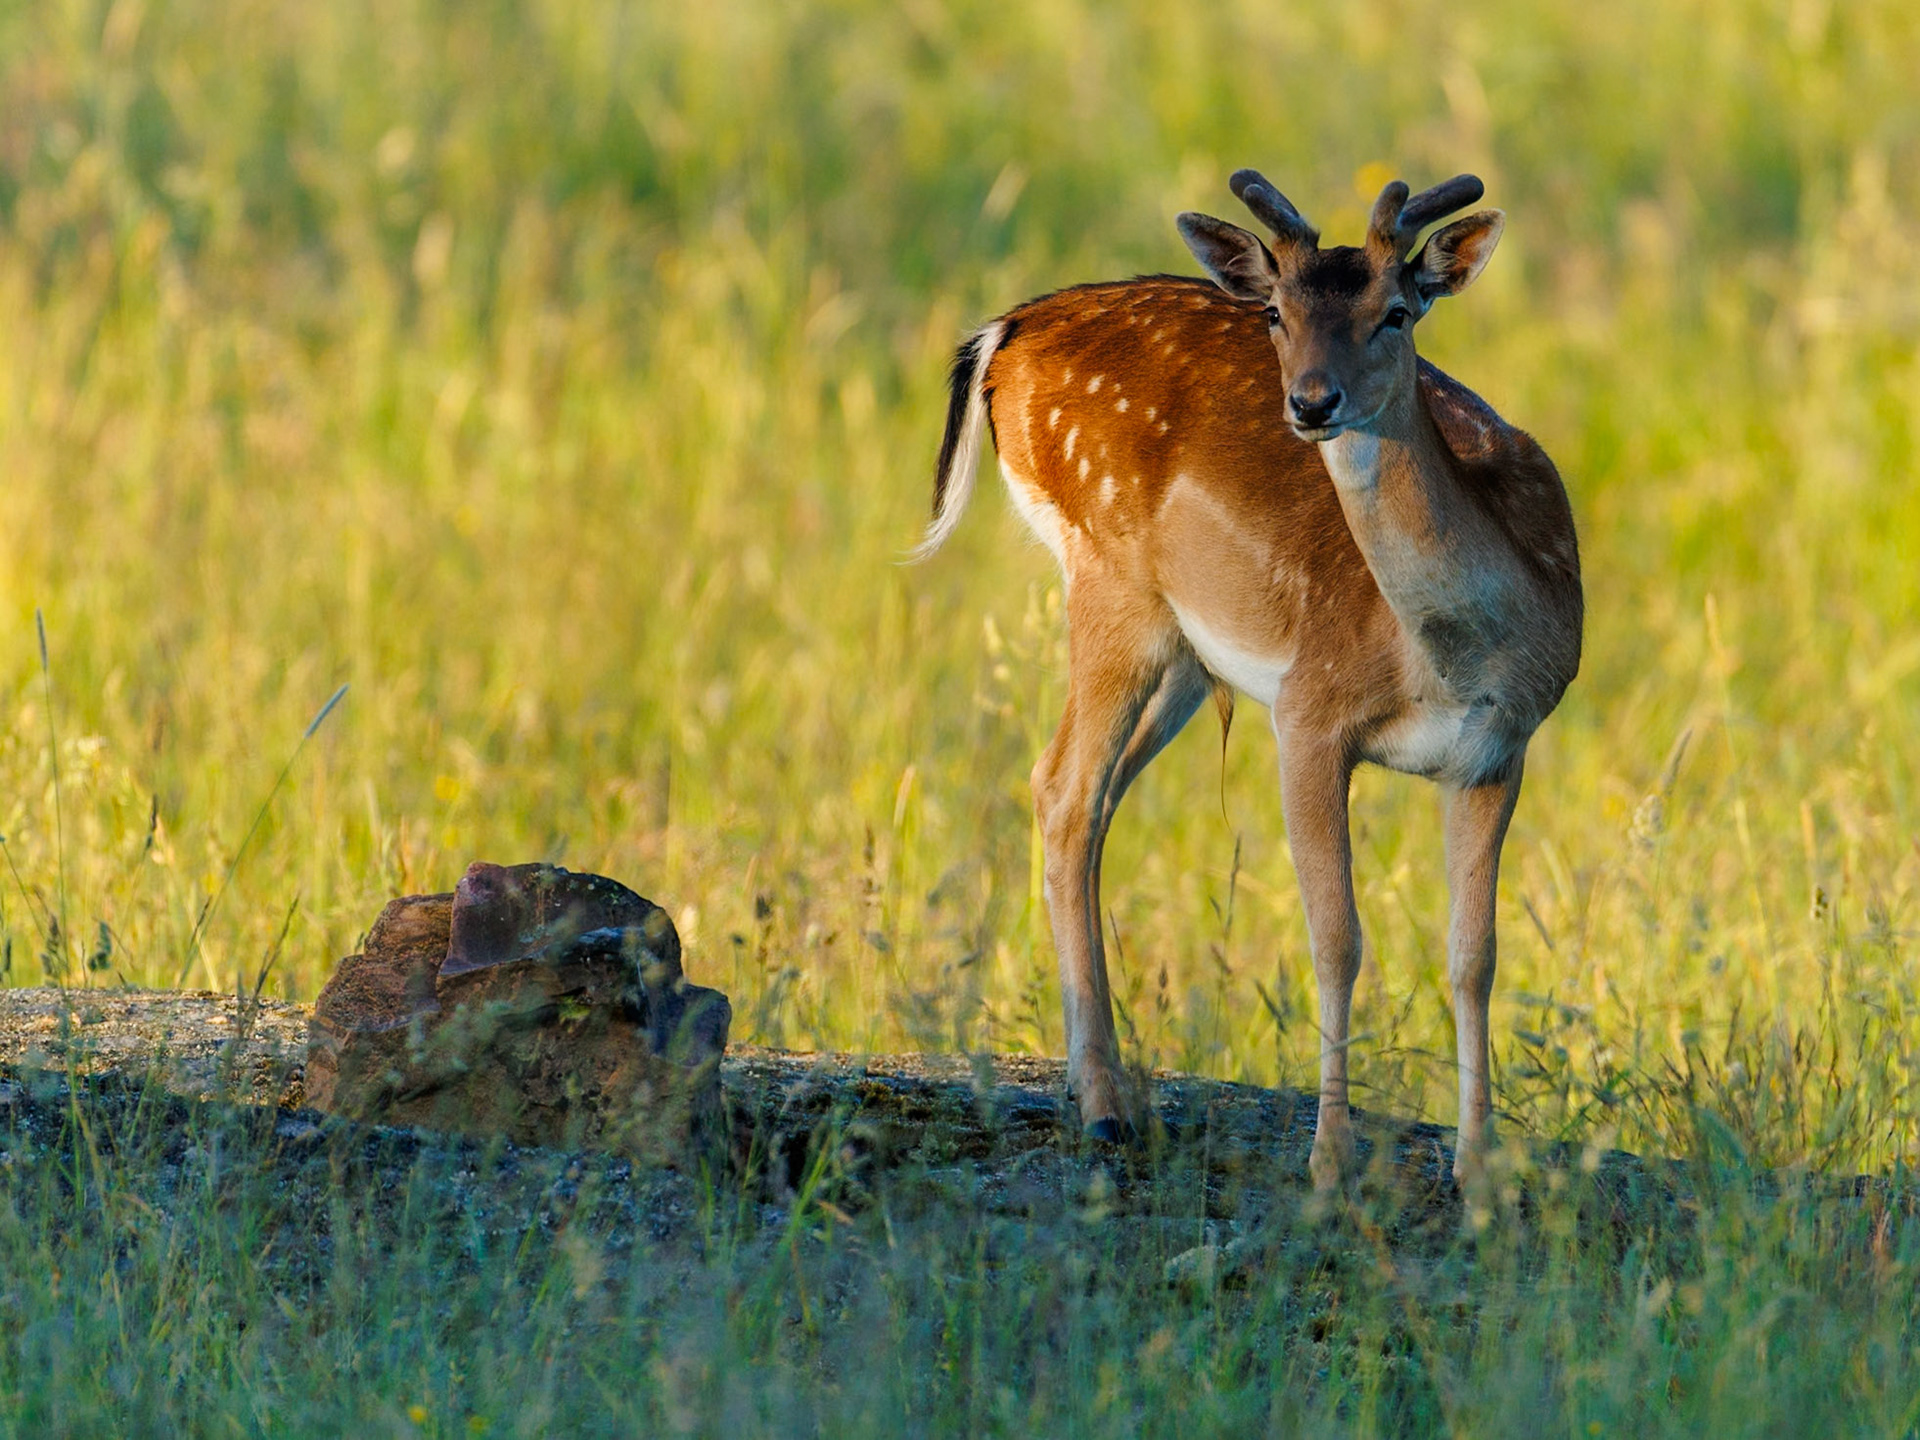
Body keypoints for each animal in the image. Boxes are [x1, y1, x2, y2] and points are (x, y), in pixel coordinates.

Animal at [912, 170, 1582, 1190]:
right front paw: (1330, 1161)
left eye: (1397, 311)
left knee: (1085, 798)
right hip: (1111, 582)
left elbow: (1476, 955)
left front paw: (1480, 1173)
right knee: (1064, 786)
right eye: (1276, 312)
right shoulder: (1308, 712)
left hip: (1186, 656)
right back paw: (1103, 1109)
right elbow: (1337, 937)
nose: (1311, 402)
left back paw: (1100, 1083)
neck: (1452, 658)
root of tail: (1004, 330)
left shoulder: (1497, 753)